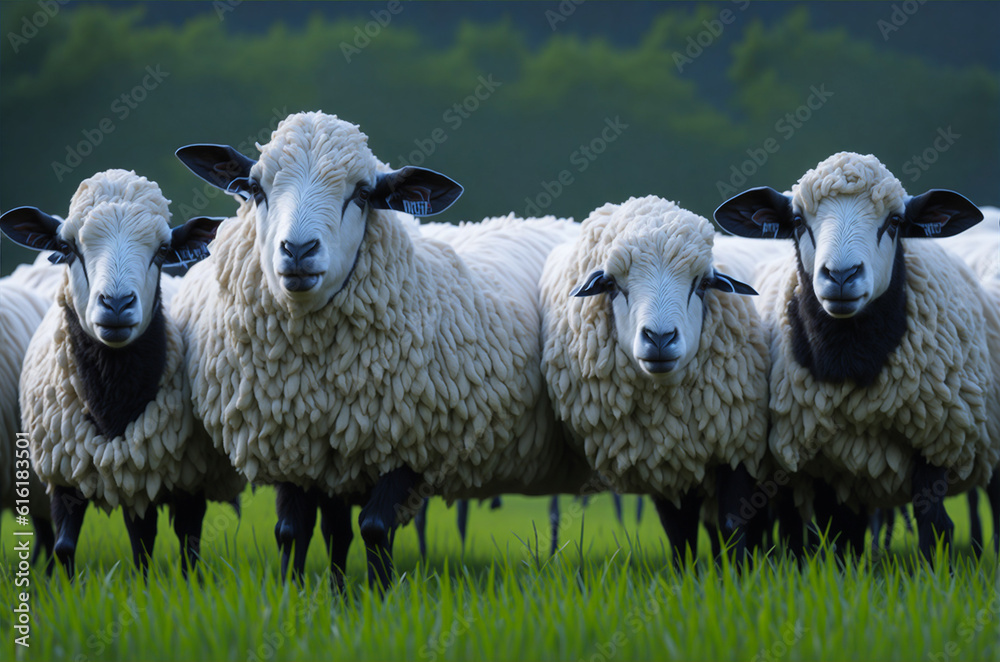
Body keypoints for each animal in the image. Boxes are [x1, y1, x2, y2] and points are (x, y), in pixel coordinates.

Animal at [1, 169, 245, 576]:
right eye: (68, 247)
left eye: (162, 251)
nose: (116, 304)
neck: (112, 401)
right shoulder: (64, 475)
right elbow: (66, 547)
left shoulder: (185, 477)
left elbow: (185, 546)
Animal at [172, 111, 591, 590]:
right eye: (256, 189)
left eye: (362, 194)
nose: (298, 251)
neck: (319, 368)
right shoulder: (294, 445)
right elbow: (292, 531)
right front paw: (299, 595)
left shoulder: (412, 438)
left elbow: (374, 528)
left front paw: (379, 596)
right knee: (334, 528)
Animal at [539, 195, 770, 564]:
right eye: (611, 285)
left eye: (703, 284)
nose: (659, 337)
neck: (673, 420)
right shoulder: (663, 463)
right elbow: (679, 534)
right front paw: (688, 574)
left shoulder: (741, 449)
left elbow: (734, 526)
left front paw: (740, 574)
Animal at [714, 151, 996, 562]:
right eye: (797, 222)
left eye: (895, 222)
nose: (842, 275)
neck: (851, 364)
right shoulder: (822, 460)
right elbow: (834, 533)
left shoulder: (935, 439)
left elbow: (935, 525)